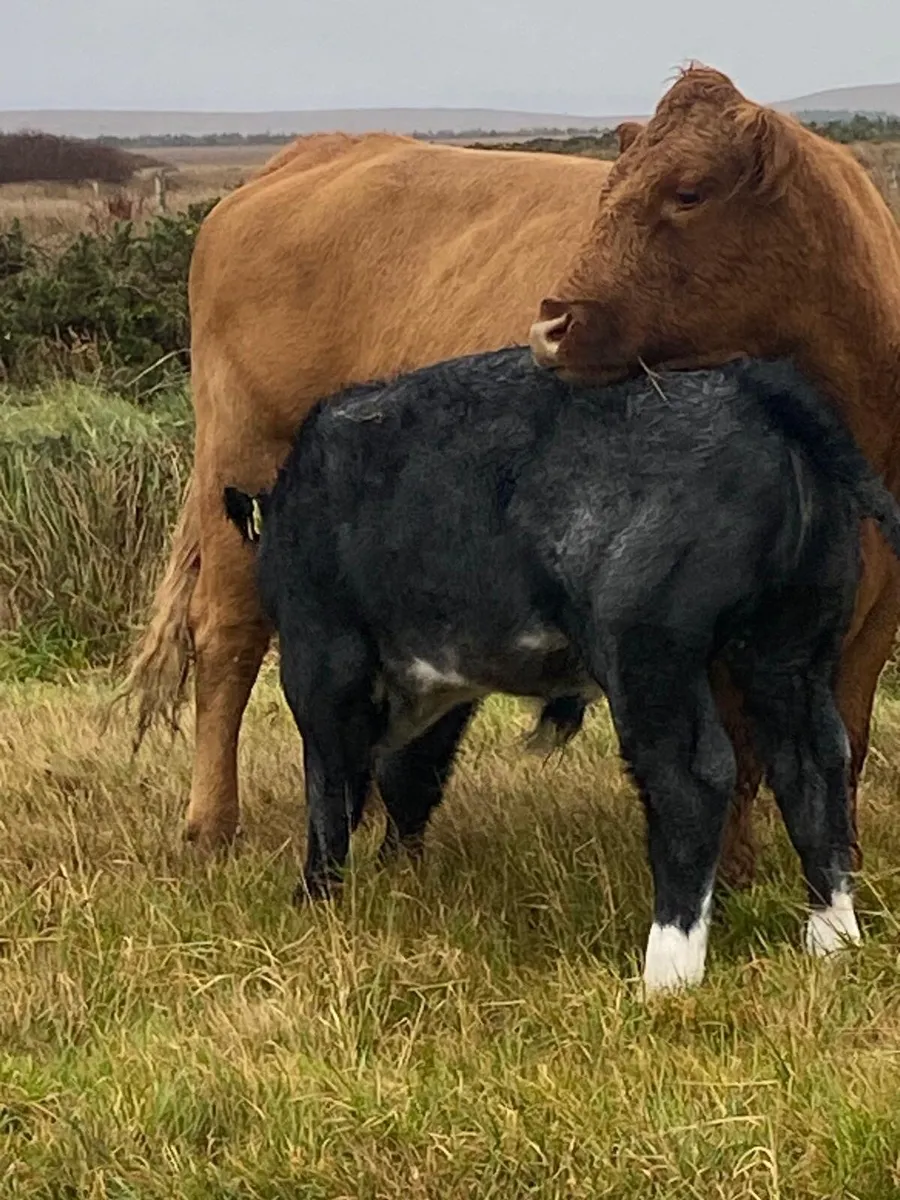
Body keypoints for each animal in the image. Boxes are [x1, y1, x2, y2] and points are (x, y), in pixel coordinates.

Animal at [222, 347, 900, 993]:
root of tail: (748, 385)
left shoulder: (322, 654)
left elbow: (332, 786)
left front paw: (316, 901)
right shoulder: (444, 685)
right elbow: (410, 777)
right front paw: (397, 876)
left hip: (648, 651)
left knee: (692, 781)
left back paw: (667, 973)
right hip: (791, 649)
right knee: (813, 765)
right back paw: (833, 940)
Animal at [529, 65, 900, 886]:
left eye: (690, 192)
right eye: (607, 191)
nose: (549, 326)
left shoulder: (879, 616)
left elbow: (848, 742)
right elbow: (732, 753)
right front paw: (728, 878)